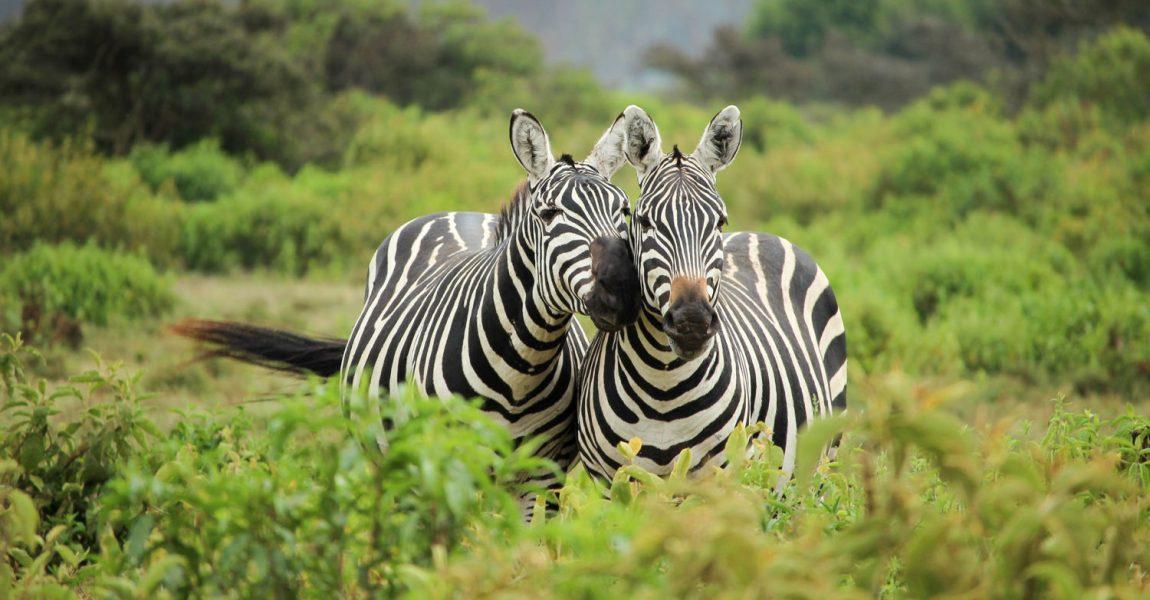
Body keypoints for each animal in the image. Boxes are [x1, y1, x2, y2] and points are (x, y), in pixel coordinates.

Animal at [173, 109, 639, 487]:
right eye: (549, 214)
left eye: (625, 211)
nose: (622, 290)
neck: (521, 369)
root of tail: (459, 214)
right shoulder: (443, 462)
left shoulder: (543, 476)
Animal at [575, 107, 846, 478]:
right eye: (644, 221)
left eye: (719, 222)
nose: (691, 322)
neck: (663, 386)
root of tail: (761, 234)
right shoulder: (610, 479)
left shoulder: (719, 476)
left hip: (823, 459)